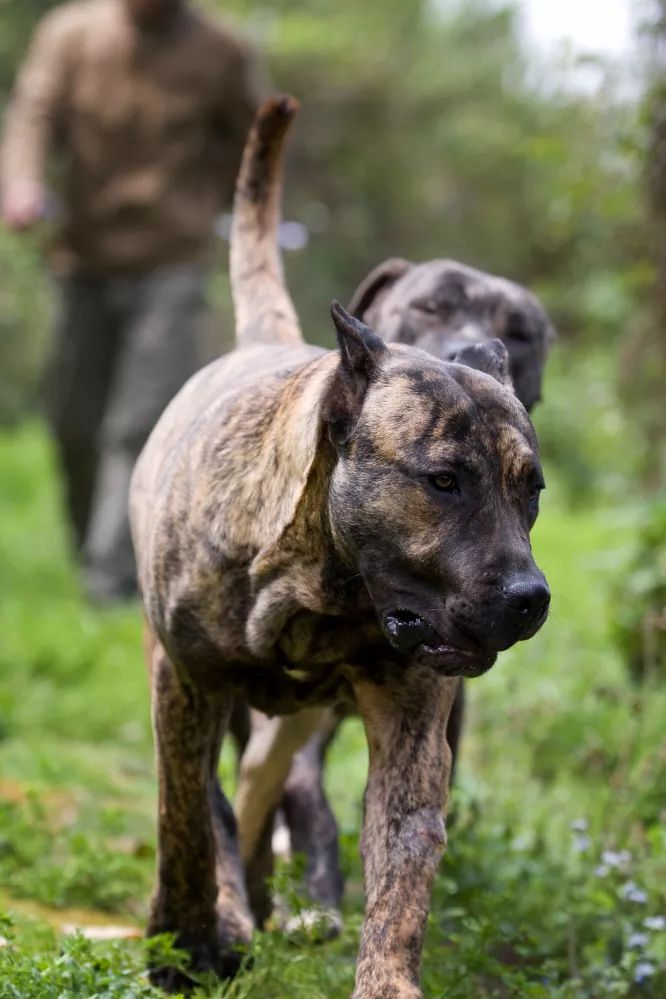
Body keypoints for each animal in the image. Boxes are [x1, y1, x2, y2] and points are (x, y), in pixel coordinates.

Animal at [128, 95, 544, 999]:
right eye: (444, 480)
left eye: (531, 489)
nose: (529, 598)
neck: (322, 581)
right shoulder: (184, 682)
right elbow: (186, 819)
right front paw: (185, 939)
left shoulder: (415, 726)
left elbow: (401, 870)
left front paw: (382, 971)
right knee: (221, 807)